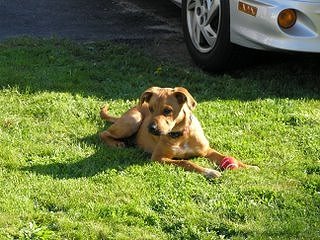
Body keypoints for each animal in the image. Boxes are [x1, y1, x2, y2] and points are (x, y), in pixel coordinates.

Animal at [100, 87, 258, 177]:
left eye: (167, 111)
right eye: (151, 109)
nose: (151, 129)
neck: (181, 136)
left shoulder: (207, 151)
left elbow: (225, 156)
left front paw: (248, 167)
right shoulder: (158, 158)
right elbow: (186, 162)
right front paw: (209, 171)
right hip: (134, 120)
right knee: (103, 134)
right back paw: (116, 144)